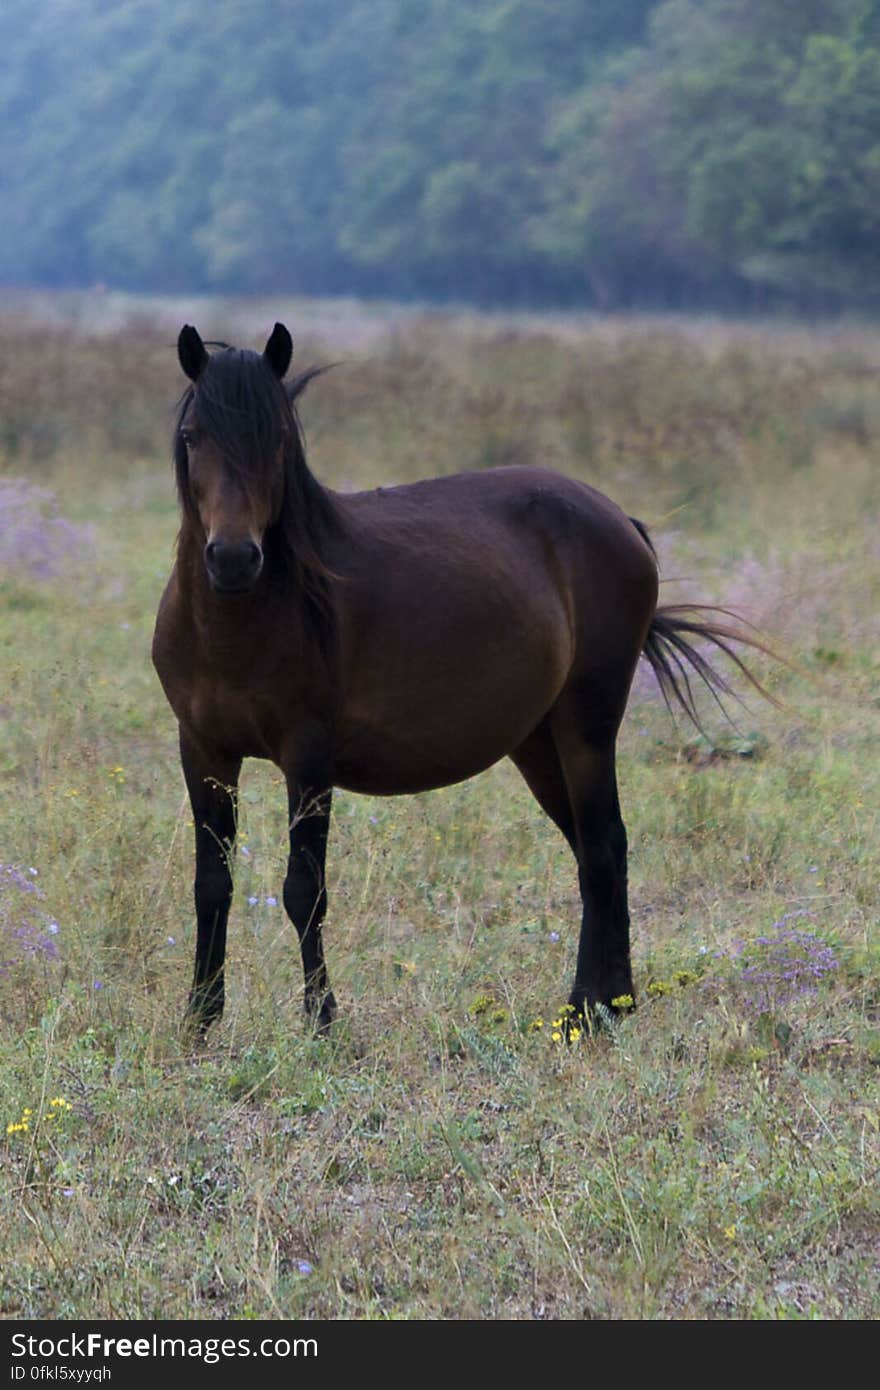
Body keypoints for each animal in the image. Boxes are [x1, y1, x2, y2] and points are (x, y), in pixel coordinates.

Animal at [154, 322, 767, 1034]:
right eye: (193, 435)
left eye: (276, 436)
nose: (232, 558)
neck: (242, 625)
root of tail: (621, 522)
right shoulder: (203, 750)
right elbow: (211, 886)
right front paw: (199, 1020)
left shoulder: (307, 757)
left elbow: (304, 890)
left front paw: (322, 1024)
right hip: (536, 742)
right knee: (593, 850)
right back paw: (610, 1006)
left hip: (586, 726)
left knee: (603, 847)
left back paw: (587, 1011)